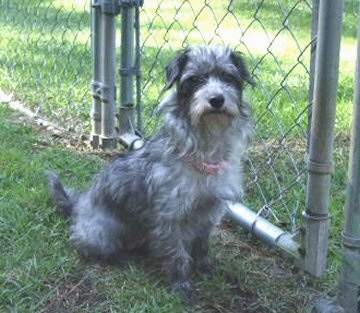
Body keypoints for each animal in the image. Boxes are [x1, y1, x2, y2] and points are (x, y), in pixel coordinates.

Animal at [46, 44, 255, 300]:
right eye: (195, 80)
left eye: (228, 77)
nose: (216, 99)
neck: (203, 149)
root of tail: (78, 206)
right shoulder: (170, 218)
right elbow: (177, 254)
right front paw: (181, 284)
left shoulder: (209, 212)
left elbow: (202, 245)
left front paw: (205, 266)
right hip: (101, 233)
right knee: (87, 245)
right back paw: (122, 256)